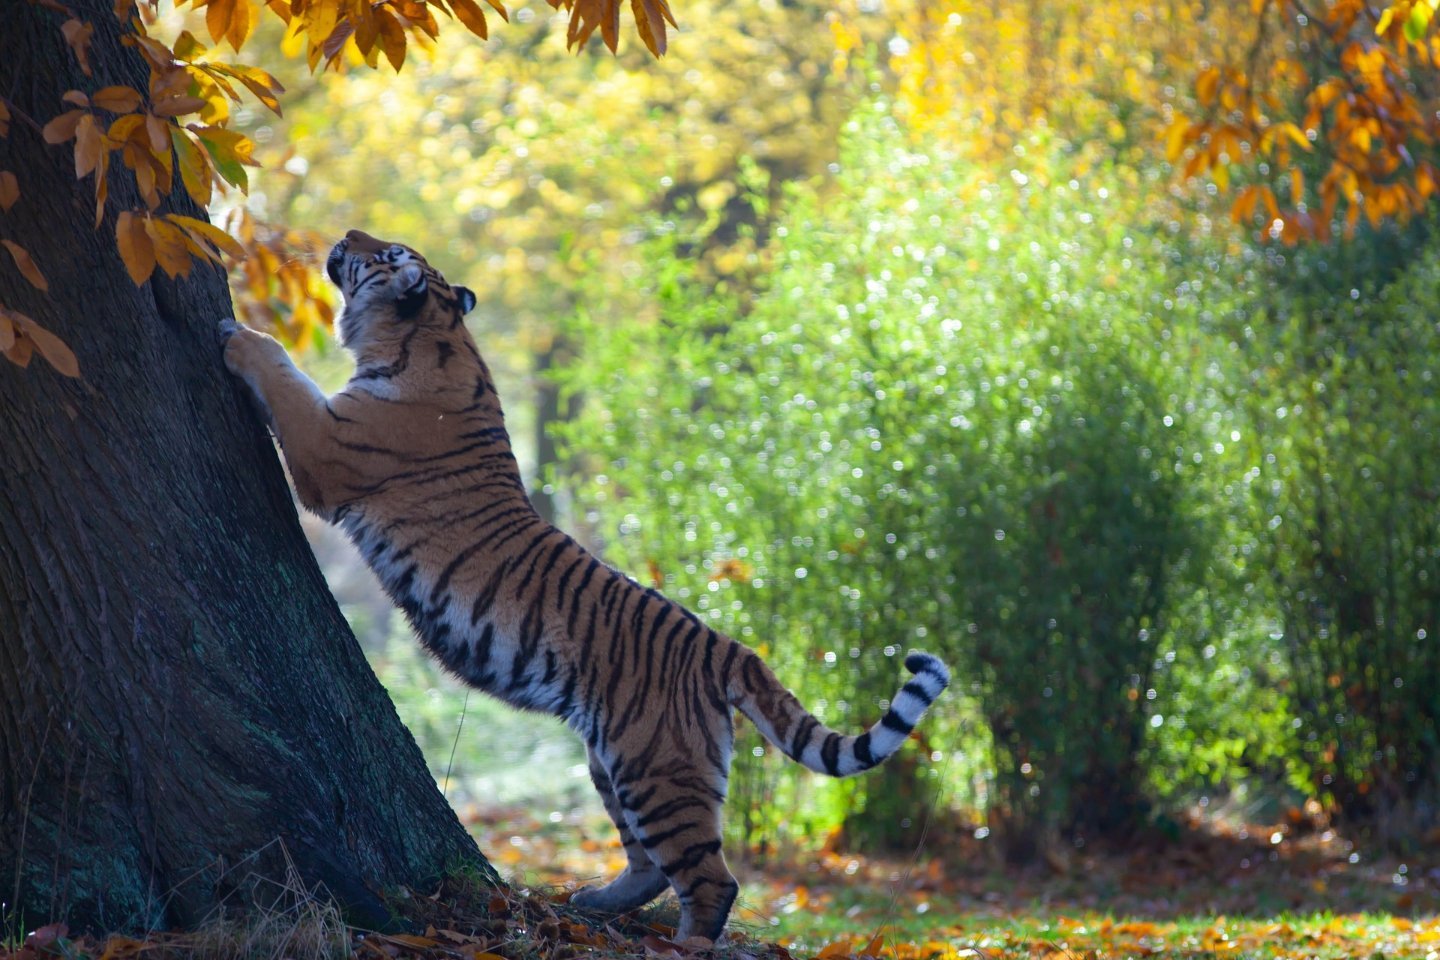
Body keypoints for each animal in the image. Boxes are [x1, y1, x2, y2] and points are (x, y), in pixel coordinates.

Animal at [218, 228, 950, 944]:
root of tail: (726, 646)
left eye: (385, 252)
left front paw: (237, 331)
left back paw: (680, 945)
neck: (436, 331)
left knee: (712, 882)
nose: (345, 234)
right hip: (617, 762)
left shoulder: (325, 446)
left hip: (658, 770)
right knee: (650, 865)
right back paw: (593, 903)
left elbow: (283, 372)